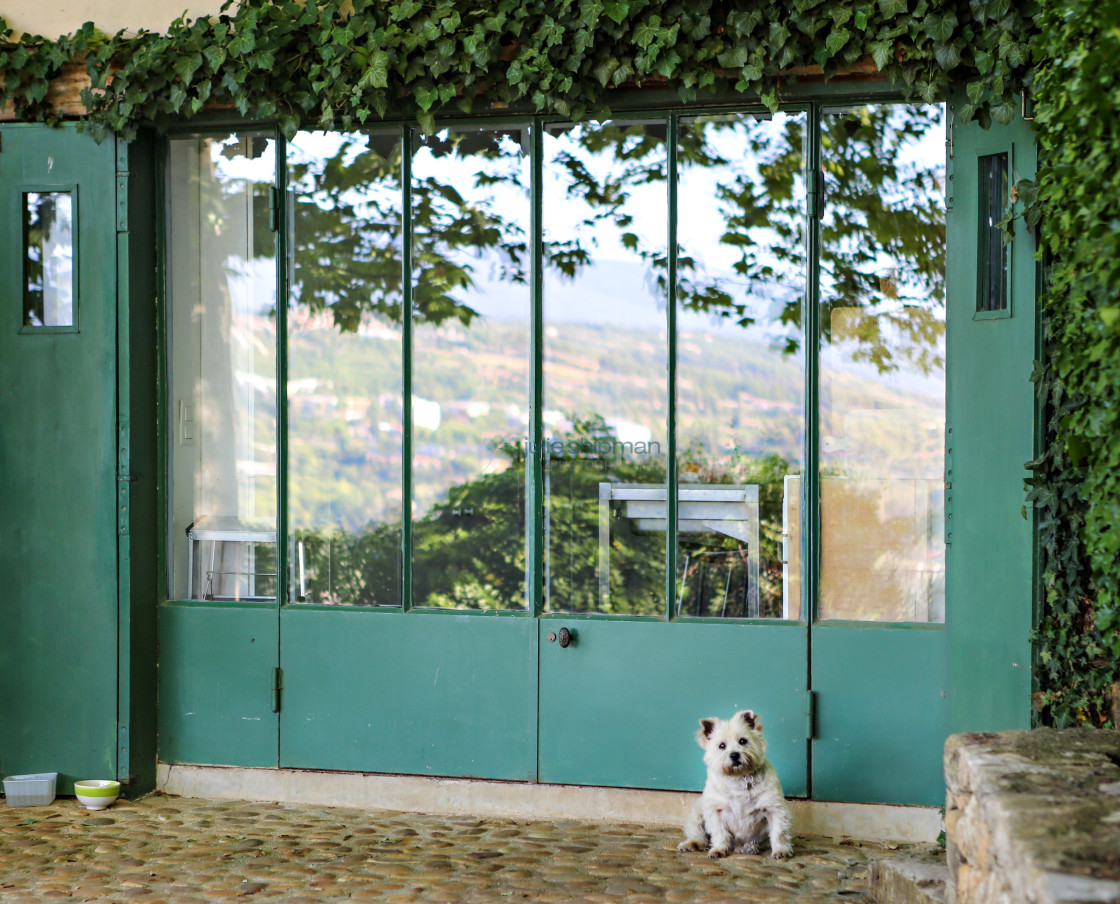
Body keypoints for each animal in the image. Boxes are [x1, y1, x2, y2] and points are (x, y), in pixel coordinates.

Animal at [676, 712, 792, 860]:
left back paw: (749, 847)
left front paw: (781, 850)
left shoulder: (775, 809)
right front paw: (718, 849)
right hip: (697, 811)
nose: (734, 755)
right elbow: (719, 832)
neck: (739, 777)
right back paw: (692, 844)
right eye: (721, 745)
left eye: (743, 741)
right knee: (697, 832)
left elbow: (778, 832)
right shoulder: (715, 811)